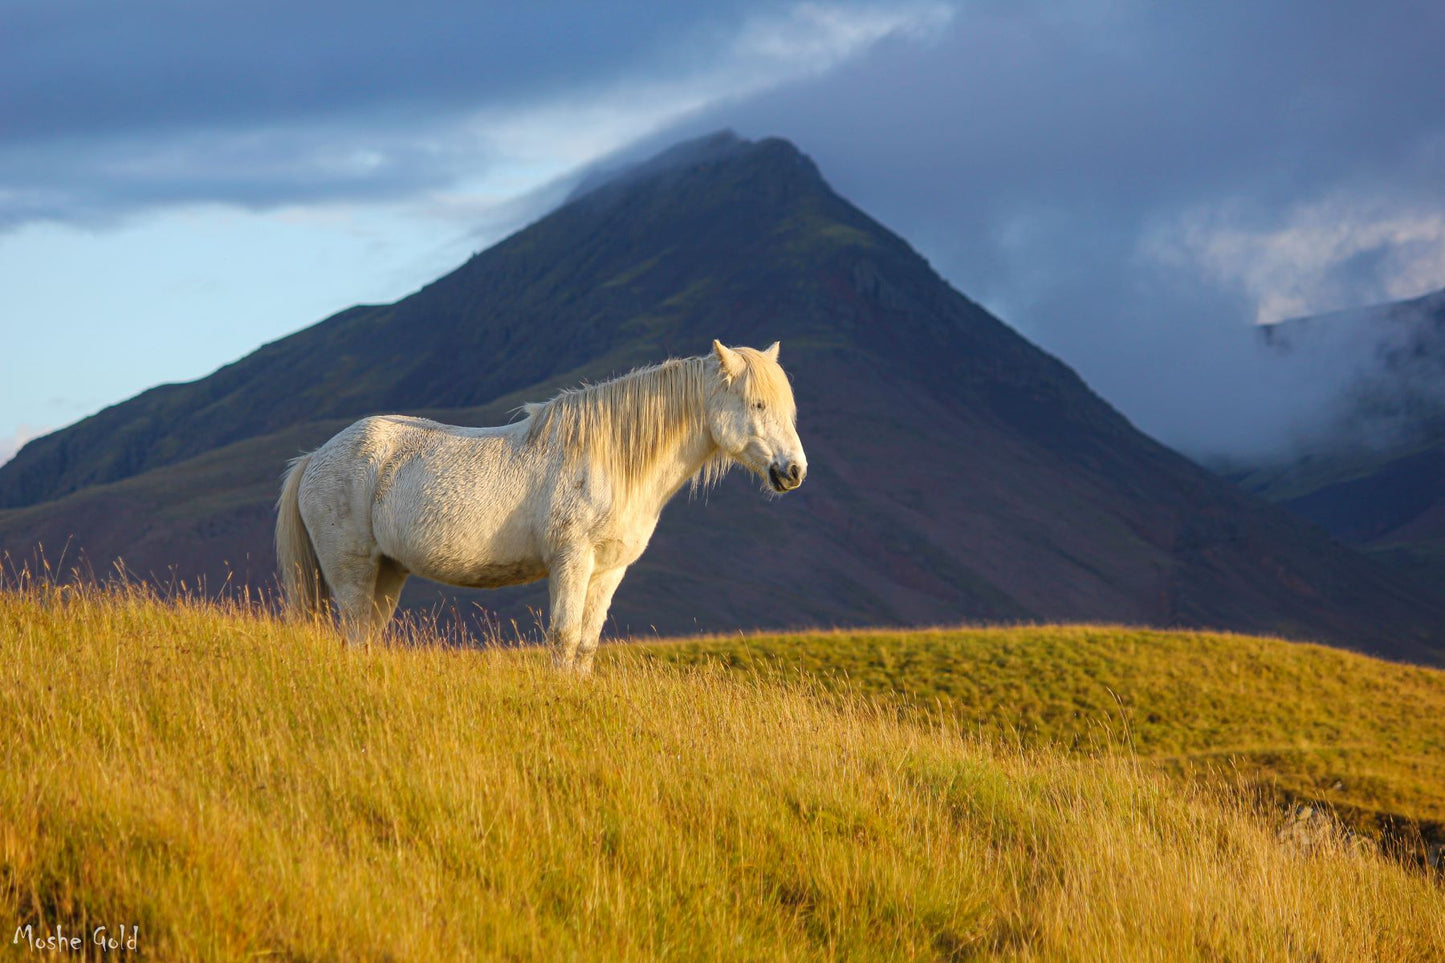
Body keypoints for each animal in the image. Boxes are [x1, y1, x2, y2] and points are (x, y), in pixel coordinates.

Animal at [275, 339, 809, 668]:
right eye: (757, 404)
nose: (794, 471)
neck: (607, 460)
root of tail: (314, 457)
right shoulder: (570, 562)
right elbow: (563, 636)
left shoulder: (608, 570)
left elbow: (587, 644)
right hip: (352, 571)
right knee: (354, 632)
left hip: (388, 572)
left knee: (367, 636)